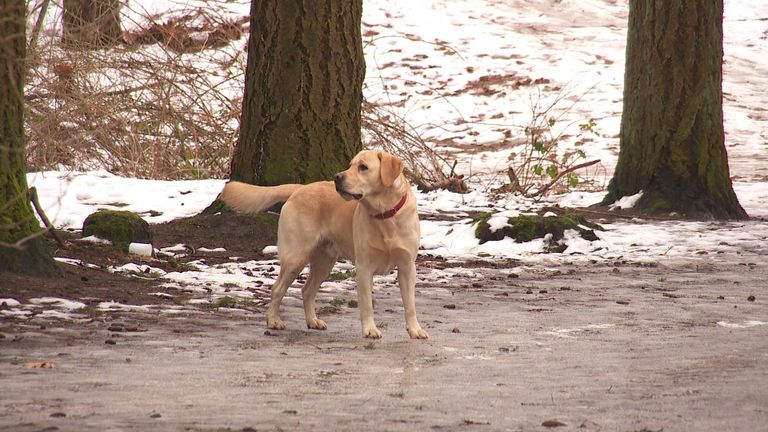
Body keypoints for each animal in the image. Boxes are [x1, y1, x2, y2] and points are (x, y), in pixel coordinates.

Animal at [219, 150, 428, 340]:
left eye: (363, 167)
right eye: (351, 165)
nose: (337, 177)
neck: (385, 214)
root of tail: (300, 188)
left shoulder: (407, 267)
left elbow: (410, 305)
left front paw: (415, 330)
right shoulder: (364, 268)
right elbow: (367, 304)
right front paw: (370, 330)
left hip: (324, 262)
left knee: (307, 291)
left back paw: (312, 321)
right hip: (296, 257)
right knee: (277, 289)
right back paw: (273, 321)